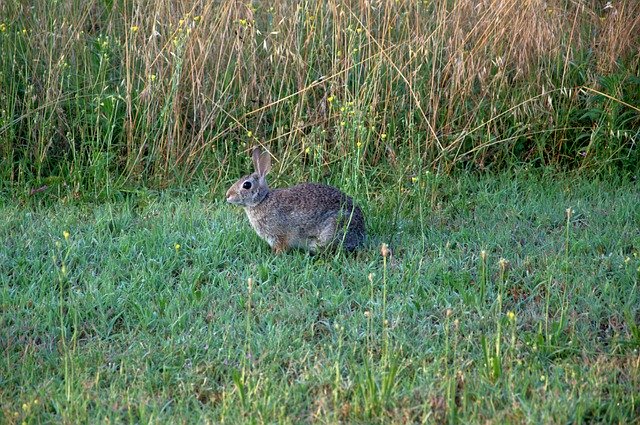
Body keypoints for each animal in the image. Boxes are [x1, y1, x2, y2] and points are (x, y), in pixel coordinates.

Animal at [226, 147, 364, 252]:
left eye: (246, 185)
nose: (227, 195)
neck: (262, 200)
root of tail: (362, 233)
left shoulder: (279, 235)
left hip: (334, 226)